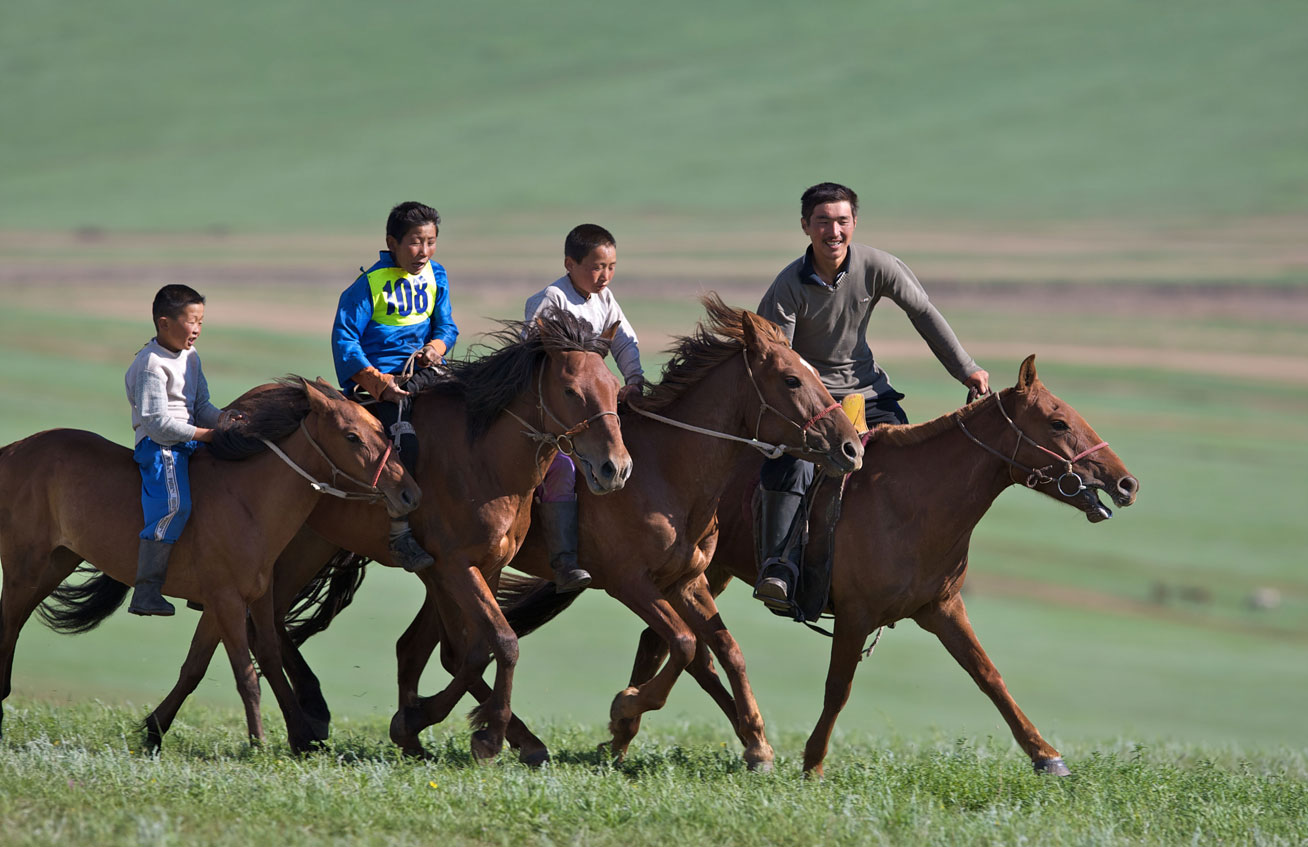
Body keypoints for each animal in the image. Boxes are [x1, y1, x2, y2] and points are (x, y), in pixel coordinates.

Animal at [1, 376, 418, 747]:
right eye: (352, 436)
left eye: (380, 428)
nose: (409, 493)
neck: (249, 499)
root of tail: (13, 450)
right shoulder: (227, 600)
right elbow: (246, 674)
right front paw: (259, 743)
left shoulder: (246, 599)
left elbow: (225, 664)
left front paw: (156, 731)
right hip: (24, 567)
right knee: (9, 624)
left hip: (56, 563)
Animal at [287, 296, 863, 768]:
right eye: (792, 379)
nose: (851, 446)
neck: (667, 469)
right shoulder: (630, 581)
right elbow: (683, 644)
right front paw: (624, 710)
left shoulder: (687, 581)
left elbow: (723, 650)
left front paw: (757, 745)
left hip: (442, 573)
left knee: (426, 648)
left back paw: (427, 729)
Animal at [609, 352, 1135, 779]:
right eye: (1058, 423)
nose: (1126, 483)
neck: (912, 502)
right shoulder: (856, 615)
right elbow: (838, 688)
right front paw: (813, 764)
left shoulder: (943, 609)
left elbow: (989, 676)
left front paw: (1046, 755)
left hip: (697, 576)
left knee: (665, 642)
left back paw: (625, 735)